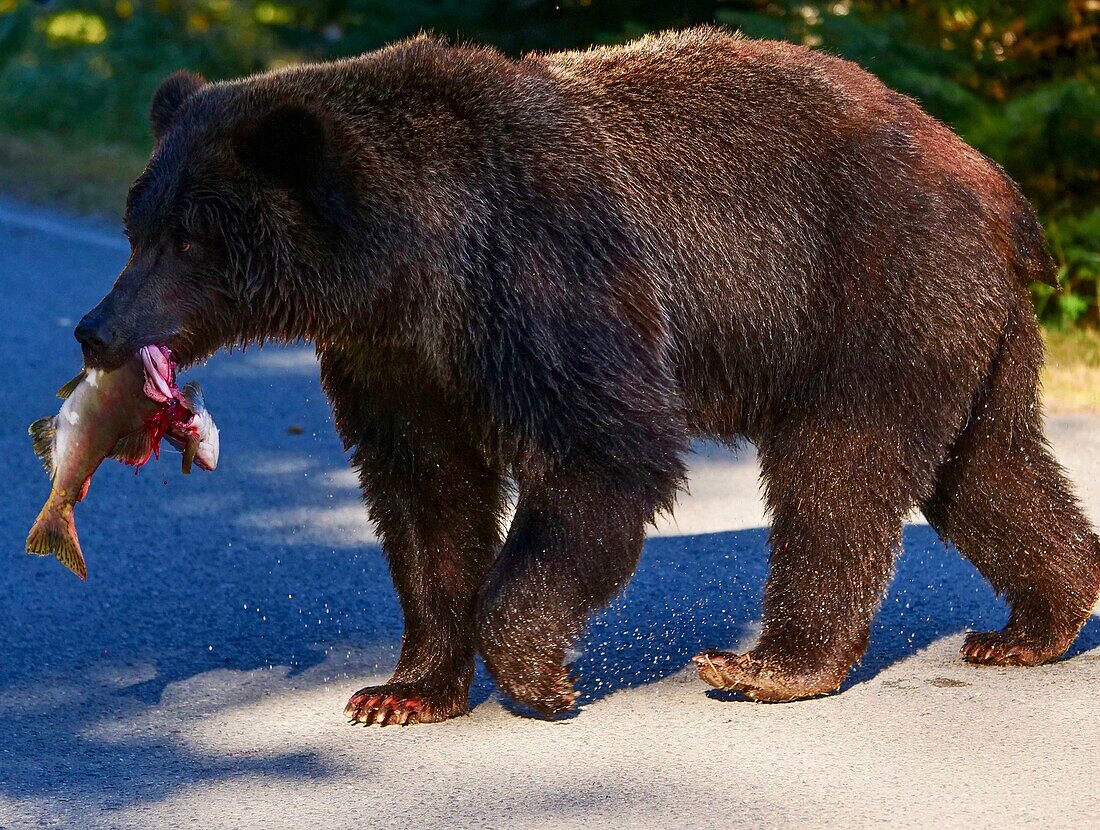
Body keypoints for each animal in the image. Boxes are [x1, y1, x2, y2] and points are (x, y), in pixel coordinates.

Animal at [75, 27, 1100, 725]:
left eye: (191, 237)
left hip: (871, 293)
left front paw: (542, 675)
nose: (96, 330)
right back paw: (1034, 623)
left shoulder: (546, 277)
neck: (411, 263)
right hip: (973, 329)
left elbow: (604, 453)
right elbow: (426, 496)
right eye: (140, 224)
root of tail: (992, 182)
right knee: (987, 467)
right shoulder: (398, 359)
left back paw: (769, 664)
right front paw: (403, 689)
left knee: (838, 472)